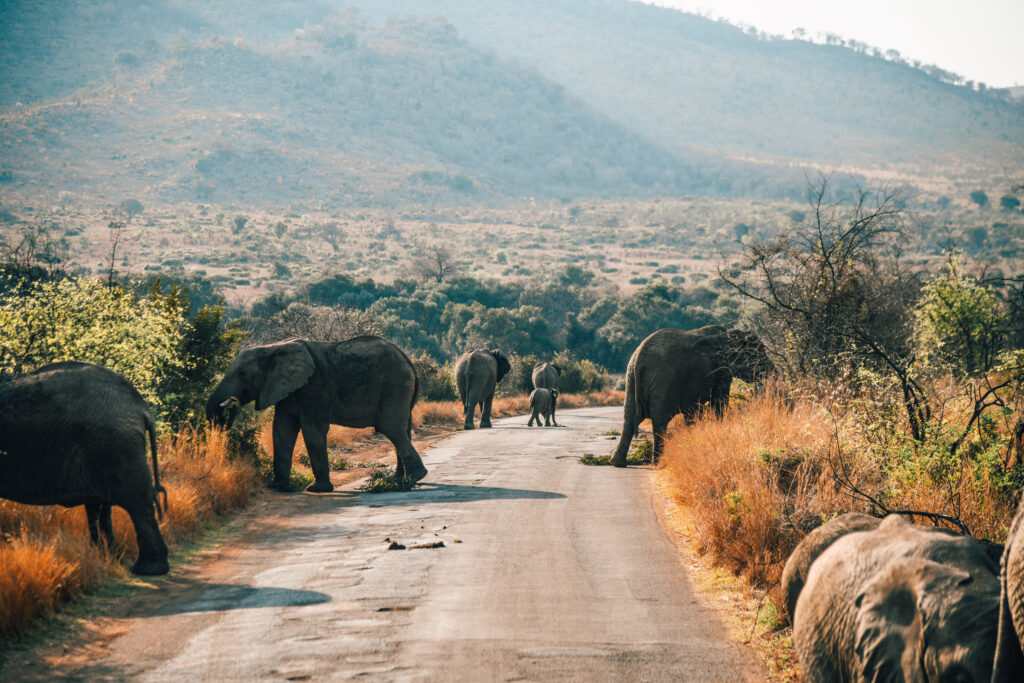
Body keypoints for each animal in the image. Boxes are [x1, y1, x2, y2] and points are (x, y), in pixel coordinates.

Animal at [0, 362, 169, 577]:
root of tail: (142, 408)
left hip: (117, 446)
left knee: (137, 503)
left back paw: (147, 569)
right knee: (101, 509)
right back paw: (108, 559)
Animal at [209, 335, 425, 491]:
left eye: (242, 374)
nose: (231, 405)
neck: (272, 348)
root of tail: (409, 362)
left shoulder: (315, 386)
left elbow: (312, 430)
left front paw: (316, 489)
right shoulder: (288, 388)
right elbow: (281, 429)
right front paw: (277, 487)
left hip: (394, 384)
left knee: (391, 427)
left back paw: (412, 478)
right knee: (402, 429)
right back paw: (399, 480)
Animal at [606, 325, 770, 464]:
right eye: (759, 354)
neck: (730, 333)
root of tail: (640, 360)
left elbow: (693, 411)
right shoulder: (721, 370)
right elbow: (718, 402)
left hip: (631, 379)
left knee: (628, 419)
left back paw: (617, 462)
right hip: (664, 380)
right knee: (659, 421)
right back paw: (659, 462)